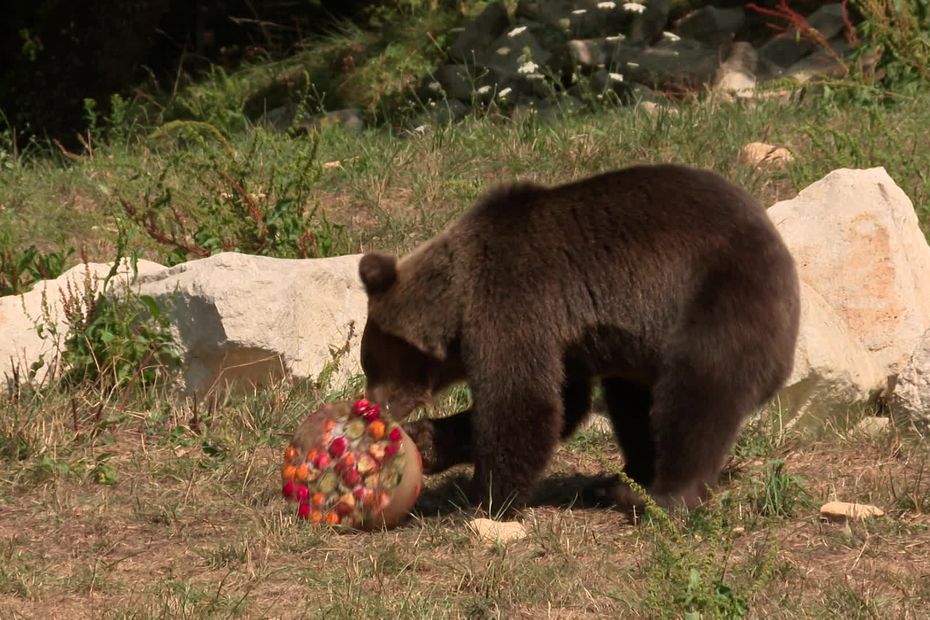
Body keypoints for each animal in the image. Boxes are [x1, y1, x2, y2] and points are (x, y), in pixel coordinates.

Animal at [356, 162, 796, 516]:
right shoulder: (566, 340)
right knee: (632, 402)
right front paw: (428, 440)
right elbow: (567, 401)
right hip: (638, 346)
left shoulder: (514, 304)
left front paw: (485, 497)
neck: (459, 302)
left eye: (375, 365)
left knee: (696, 395)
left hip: (718, 297)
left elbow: (522, 403)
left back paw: (661, 496)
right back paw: (619, 480)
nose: (373, 405)